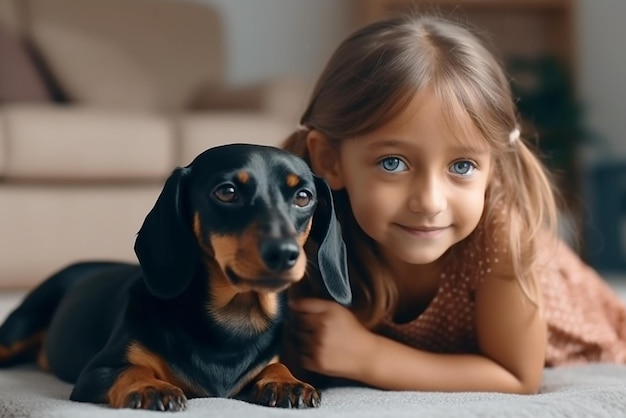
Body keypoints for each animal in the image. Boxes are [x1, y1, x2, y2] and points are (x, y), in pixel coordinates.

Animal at [0, 144, 348, 412]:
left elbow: (275, 365)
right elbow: (130, 370)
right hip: (18, 328)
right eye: (227, 192)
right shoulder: (96, 373)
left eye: (303, 197)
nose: (284, 254)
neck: (233, 322)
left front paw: (287, 381)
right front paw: (150, 387)